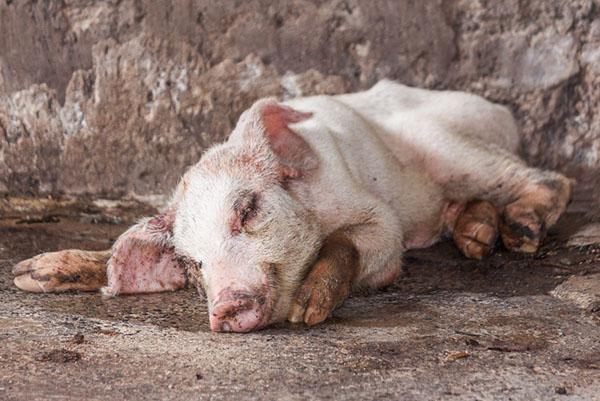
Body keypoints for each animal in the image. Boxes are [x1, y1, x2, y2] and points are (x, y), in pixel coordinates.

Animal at [10, 80, 572, 332]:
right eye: (193, 264)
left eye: (247, 209)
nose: (224, 307)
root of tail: (499, 111)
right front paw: (27, 275)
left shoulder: (378, 220)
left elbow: (354, 242)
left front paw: (308, 310)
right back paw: (477, 241)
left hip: (450, 148)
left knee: (548, 178)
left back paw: (521, 233)